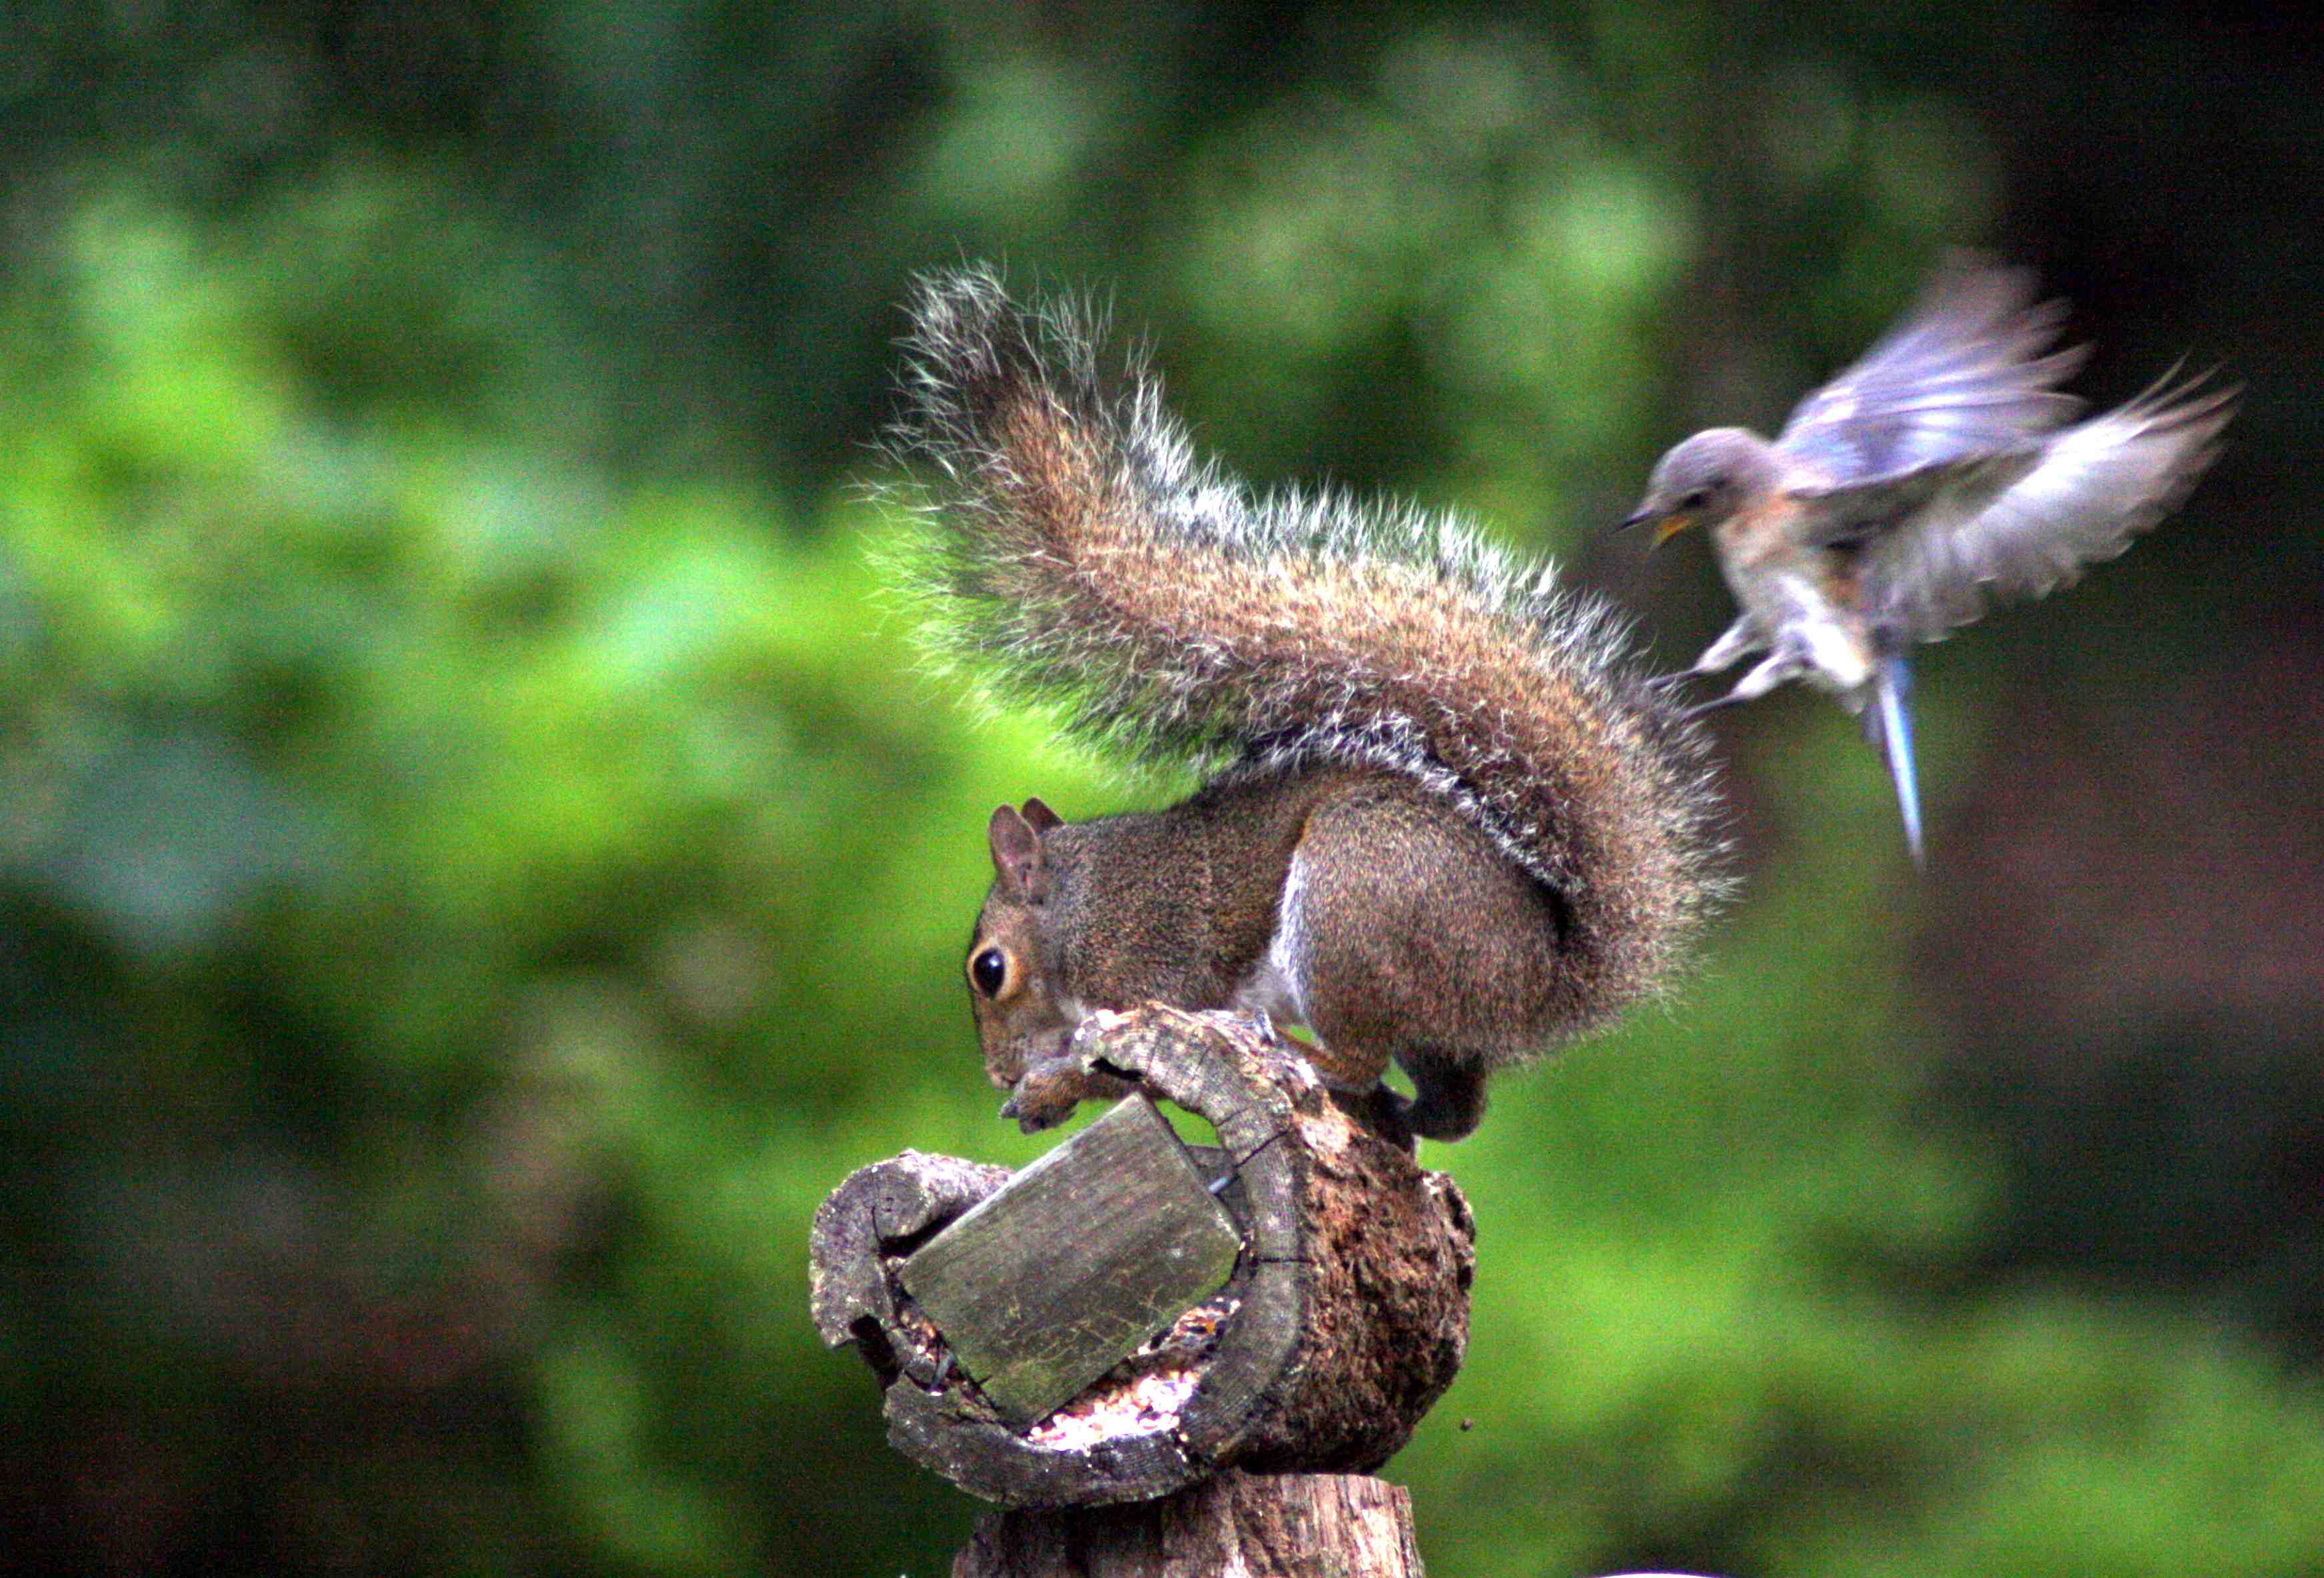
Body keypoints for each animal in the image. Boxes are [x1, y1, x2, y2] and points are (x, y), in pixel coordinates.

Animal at [887, 265, 1729, 1143]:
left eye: (988, 970)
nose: (994, 1071)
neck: (1079, 907)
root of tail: (1541, 980)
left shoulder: (1152, 977)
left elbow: (1122, 1067)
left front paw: (1048, 1088)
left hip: (1349, 903)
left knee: (1357, 1056)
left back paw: (1302, 1054)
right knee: (1454, 1112)